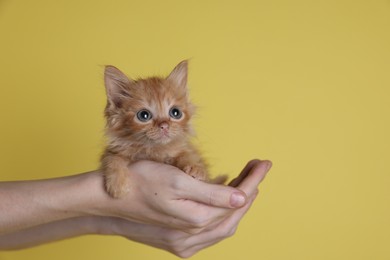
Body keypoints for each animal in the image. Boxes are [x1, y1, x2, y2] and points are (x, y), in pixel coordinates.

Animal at [100, 61, 210, 198]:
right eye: (144, 115)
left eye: (175, 112)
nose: (164, 126)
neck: (154, 150)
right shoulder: (114, 150)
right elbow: (113, 158)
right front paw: (118, 184)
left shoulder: (181, 149)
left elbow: (186, 153)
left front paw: (195, 166)